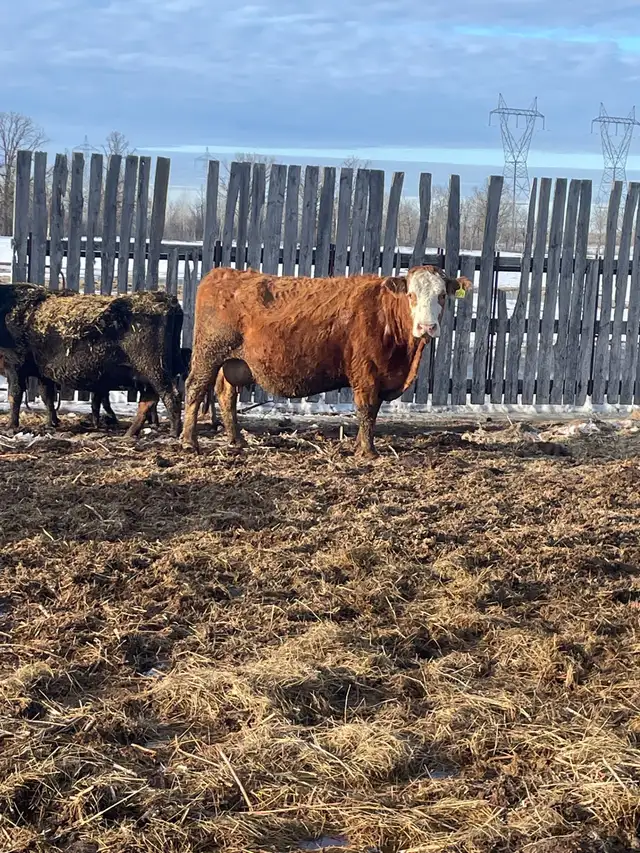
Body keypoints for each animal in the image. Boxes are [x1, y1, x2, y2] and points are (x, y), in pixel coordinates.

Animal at [0, 284, 184, 437]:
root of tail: (170, 301)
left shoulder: (14, 365)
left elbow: (14, 395)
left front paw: (10, 427)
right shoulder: (43, 373)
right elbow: (47, 397)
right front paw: (52, 424)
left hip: (155, 369)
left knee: (171, 395)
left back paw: (173, 434)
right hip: (148, 375)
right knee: (148, 400)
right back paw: (129, 434)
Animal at [181, 266, 472, 457]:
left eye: (442, 296)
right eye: (411, 295)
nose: (427, 327)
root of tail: (224, 272)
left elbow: (372, 412)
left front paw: (360, 446)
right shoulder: (366, 374)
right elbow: (367, 411)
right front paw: (368, 451)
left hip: (233, 363)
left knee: (226, 395)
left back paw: (237, 440)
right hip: (208, 355)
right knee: (194, 389)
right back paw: (189, 442)